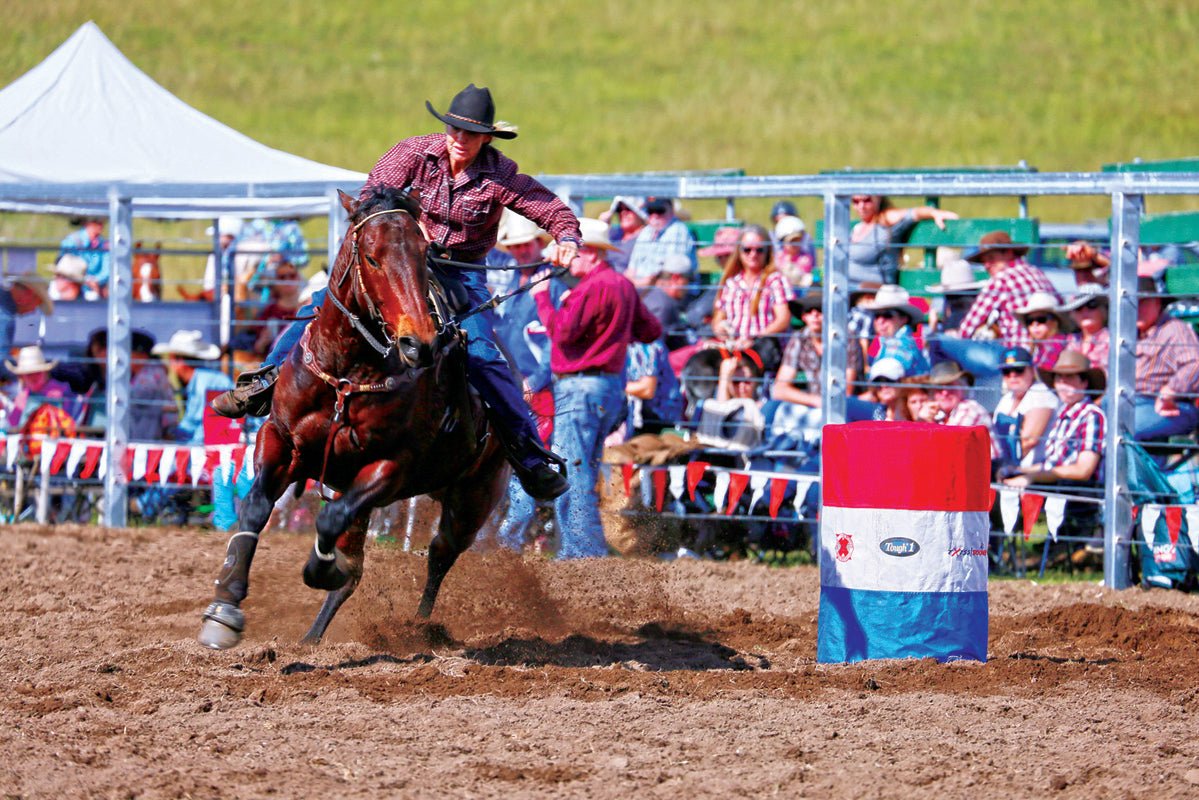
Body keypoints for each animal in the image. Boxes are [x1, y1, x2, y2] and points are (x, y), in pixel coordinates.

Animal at [199, 185, 508, 652]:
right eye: (372, 257)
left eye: (424, 253)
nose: (419, 344)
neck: (346, 373)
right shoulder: (281, 440)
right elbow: (254, 508)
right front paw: (224, 610)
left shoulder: (391, 467)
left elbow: (329, 524)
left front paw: (322, 569)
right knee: (360, 563)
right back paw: (311, 638)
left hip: (473, 499)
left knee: (438, 554)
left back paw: (418, 626)